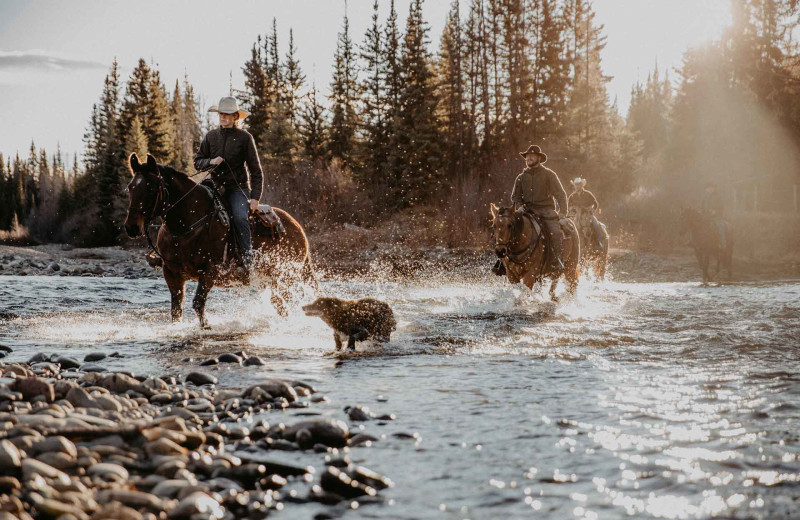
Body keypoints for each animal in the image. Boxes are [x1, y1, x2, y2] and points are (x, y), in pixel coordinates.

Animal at [123, 152, 314, 328]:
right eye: (130, 187)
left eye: (150, 187)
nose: (131, 227)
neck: (186, 226)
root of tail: (297, 227)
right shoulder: (171, 272)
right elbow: (176, 310)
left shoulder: (210, 271)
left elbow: (198, 303)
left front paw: (205, 326)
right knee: (279, 304)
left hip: (284, 277)